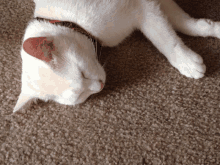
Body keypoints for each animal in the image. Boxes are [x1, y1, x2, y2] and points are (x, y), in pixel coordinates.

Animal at [14, 0, 220, 112]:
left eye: (82, 73)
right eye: (80, 95)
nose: (100, 86)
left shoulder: (144, 7)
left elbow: (165, 38)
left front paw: (185, 61)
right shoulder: (152, 6)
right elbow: (181, 22)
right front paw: (210, 28)